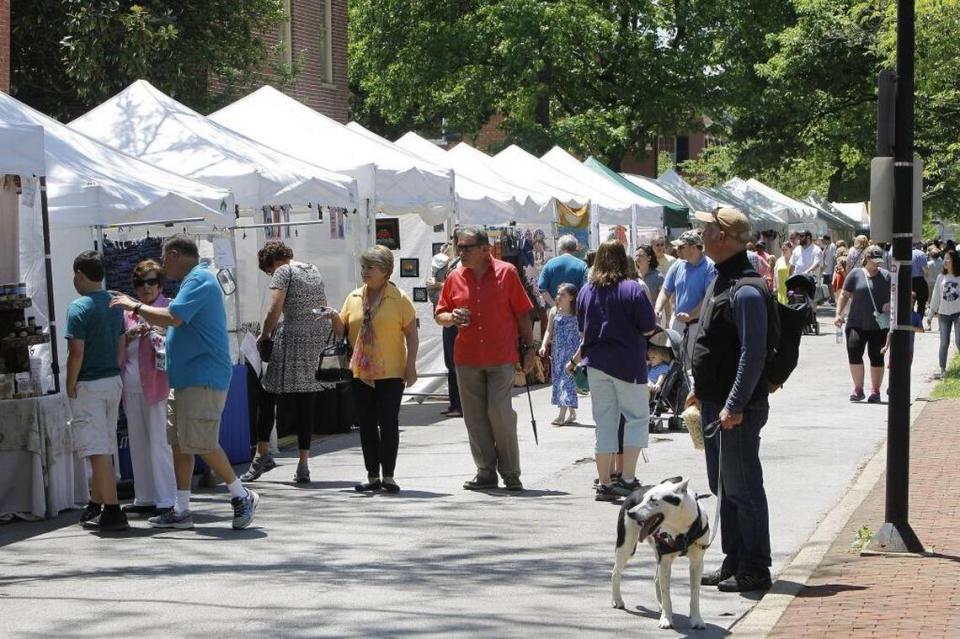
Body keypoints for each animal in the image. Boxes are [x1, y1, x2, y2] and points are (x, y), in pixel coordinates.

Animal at [612, 476, 708, 632]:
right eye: (644, 499)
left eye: (653, 500)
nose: (631, 513)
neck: (680, 529)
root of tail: (634, 491)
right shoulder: (666, 561)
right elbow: (666, 592)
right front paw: (666, 619)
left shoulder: (697, 563)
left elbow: (695, 593)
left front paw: (696, 619)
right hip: (626, 546)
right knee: (615, 573)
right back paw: (617, 600)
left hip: (657, 554)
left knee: (657, 578)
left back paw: (660, 606)